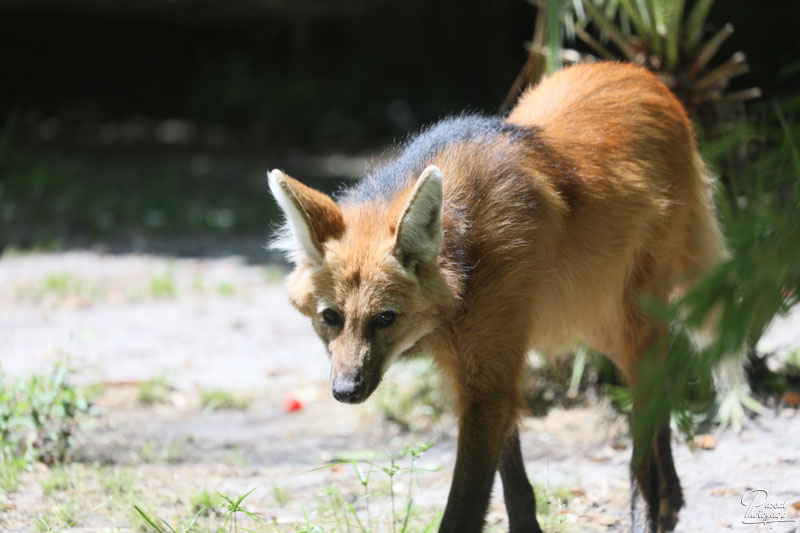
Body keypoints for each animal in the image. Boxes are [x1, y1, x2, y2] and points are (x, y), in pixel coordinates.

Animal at [268, 61, 724, 528]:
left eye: (385, 318)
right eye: (330, 317)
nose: (346, 390)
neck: (465, 267)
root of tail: (640, 74)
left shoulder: (487, 377)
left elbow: (465, 507)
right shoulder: (485, 367)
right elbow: (515, 484)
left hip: (626, 313)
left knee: (646, 425)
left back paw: (650, 508)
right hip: (596, 319)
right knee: (659, 379)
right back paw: (671, 496)